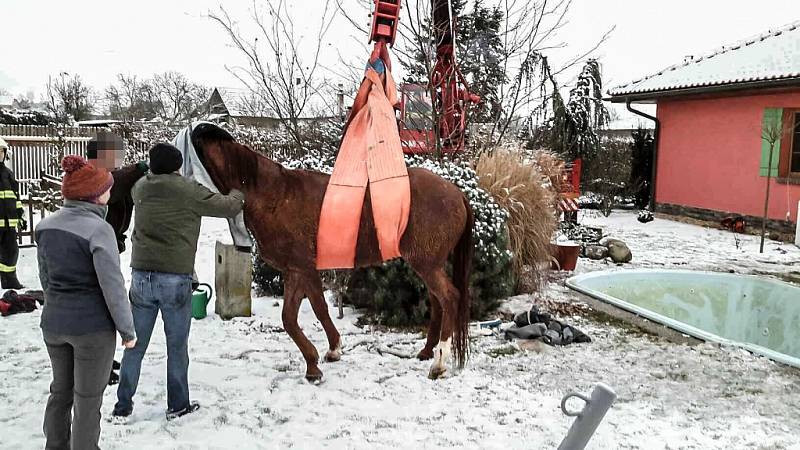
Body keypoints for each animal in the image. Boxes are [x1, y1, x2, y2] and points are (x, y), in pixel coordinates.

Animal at [190, 122, 472, 380]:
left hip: (427, 264)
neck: (277, 197)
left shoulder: (302, 268)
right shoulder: (299, 271)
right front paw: (325, 355)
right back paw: (427, 351)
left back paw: (439, 363)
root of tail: (456, 191)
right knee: (437, 302)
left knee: (449, 298)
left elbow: (306, 312)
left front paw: (318, 360)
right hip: (429, 264)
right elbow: (301, 313)